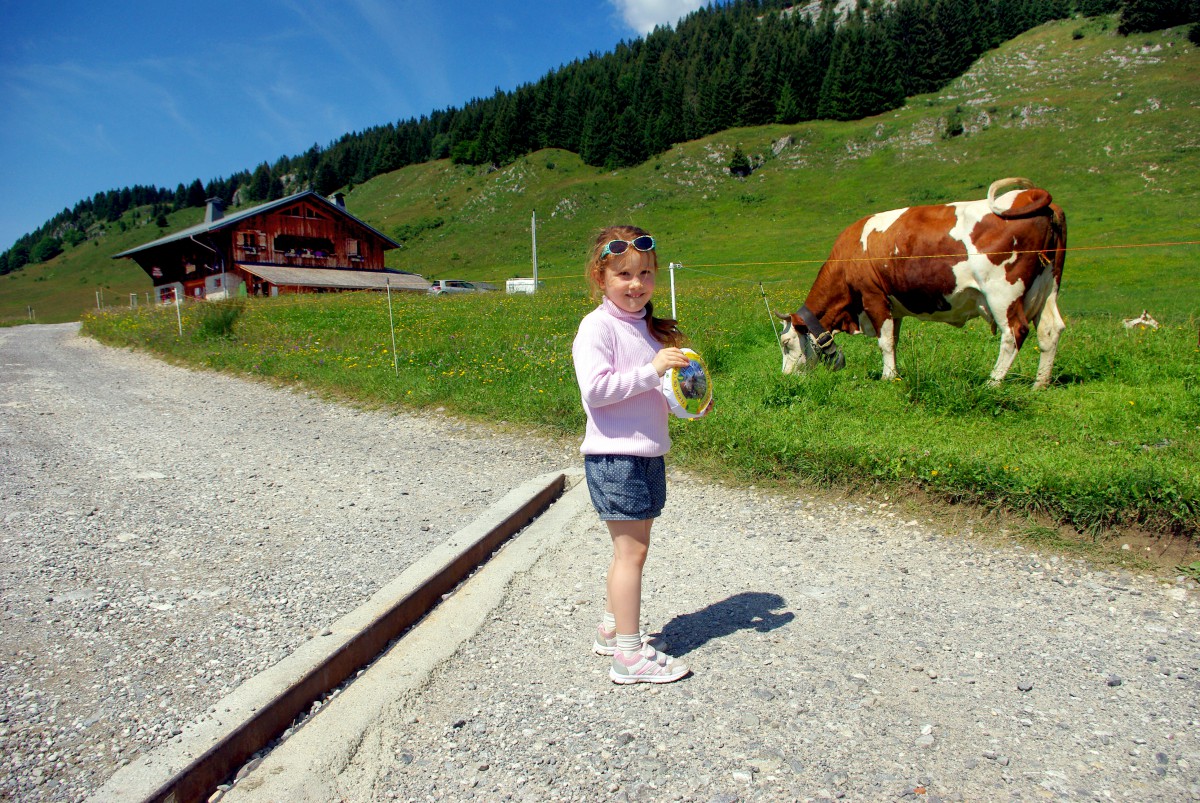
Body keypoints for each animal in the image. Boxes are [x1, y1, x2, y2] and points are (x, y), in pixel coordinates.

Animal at [777, 177, 1070, 388]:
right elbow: (893, 340)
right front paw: (893, 373)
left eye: (787, 343)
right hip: (1047, 286)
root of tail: (1032, 196)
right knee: (1050, 330)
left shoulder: (873, 296)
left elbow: (884, 342)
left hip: (1002, 292)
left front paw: (887, 378)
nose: (786, 377)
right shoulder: (892, 307)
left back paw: (992, 383)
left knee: (1014, 332)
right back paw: (1039, 384)